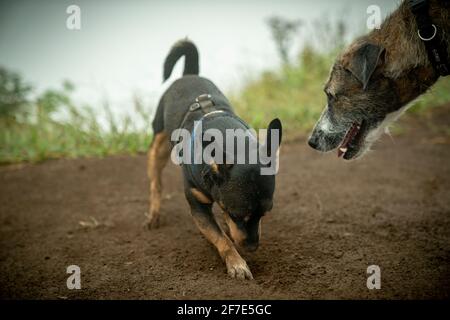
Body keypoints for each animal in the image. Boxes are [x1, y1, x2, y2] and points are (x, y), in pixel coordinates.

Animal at [147, 39, 282, 280]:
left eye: (266, 212)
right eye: (238, 213)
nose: (252, 247)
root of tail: (189, 74)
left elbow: (226, 226)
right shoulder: (199, 208)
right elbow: (221, 239)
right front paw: (237, 263)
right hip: (160, 143)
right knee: (155, 180)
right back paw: (154, 213)